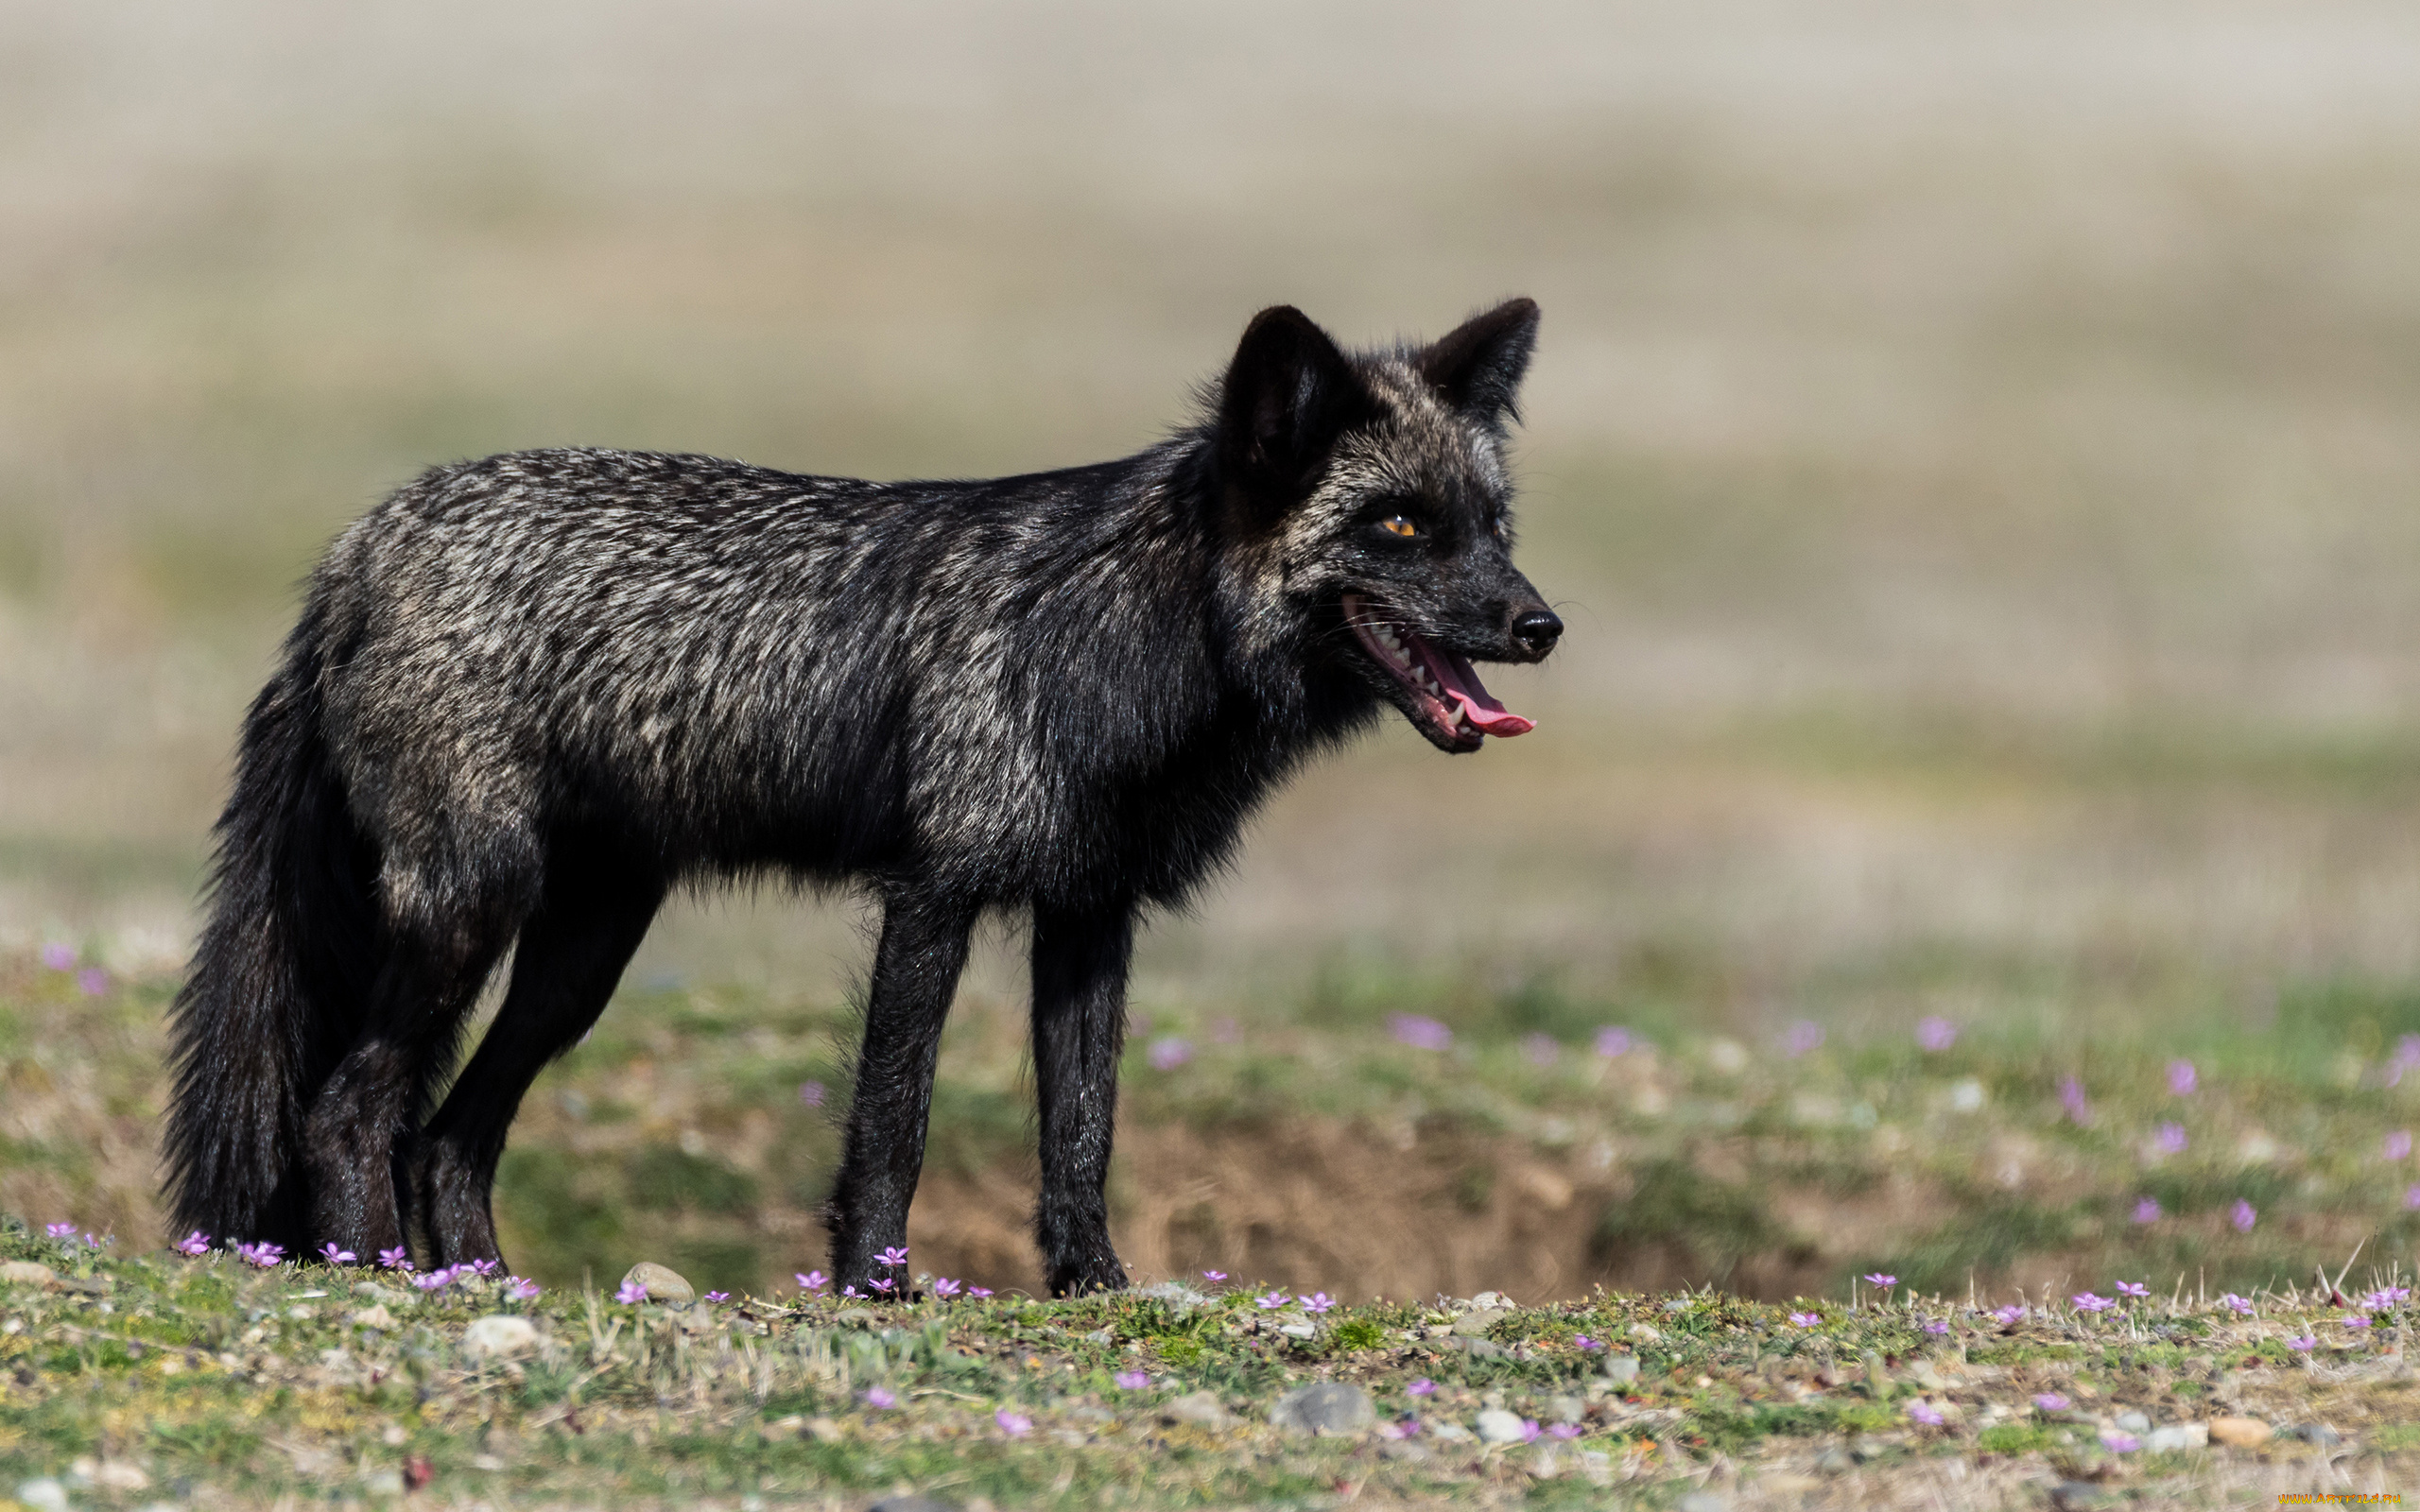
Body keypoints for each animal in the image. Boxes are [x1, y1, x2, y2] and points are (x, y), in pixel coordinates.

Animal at [162, 298, 1564, 1296]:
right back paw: (379, 1279)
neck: (1126, 644)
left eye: (1492, 524)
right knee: (347, 1109)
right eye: (1397, 528)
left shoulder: (1090, 915)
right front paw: (872, 1287)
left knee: (447, 1135)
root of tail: (363, 539)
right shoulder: (933, 894)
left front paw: (1095, 1289)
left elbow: (1083, 1131)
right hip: (474, 914)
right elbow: (896, 1117)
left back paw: (490, 1285)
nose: (1541, 626)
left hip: (580, 959)